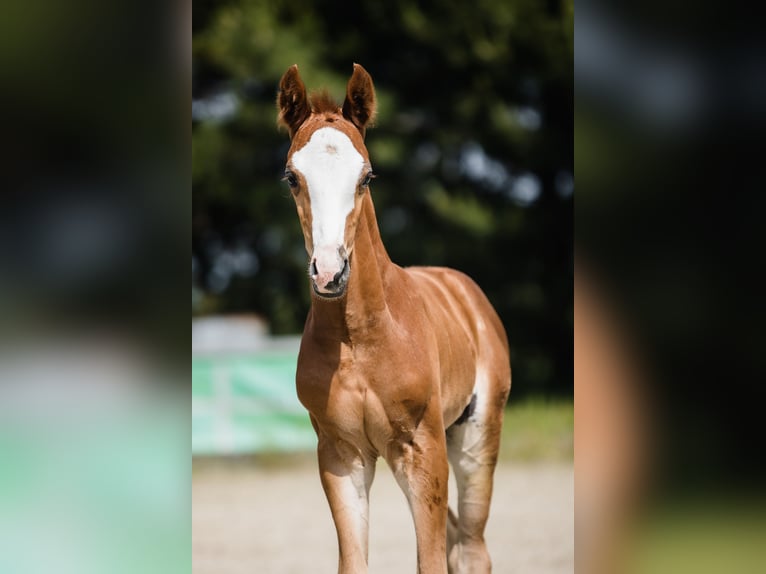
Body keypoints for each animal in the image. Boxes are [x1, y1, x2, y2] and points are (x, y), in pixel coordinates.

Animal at [280, 64, 512, 574]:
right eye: (291, 177)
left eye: (366, 176)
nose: (329, 273)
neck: (360, 338)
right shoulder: (341, 455)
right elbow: (354, 563)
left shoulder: (423, 450)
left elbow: (431, 561)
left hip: (475, 440)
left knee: (472, 549)